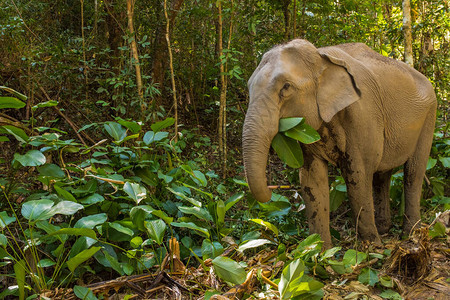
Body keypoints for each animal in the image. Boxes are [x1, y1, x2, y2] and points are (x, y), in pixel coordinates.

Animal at [243, 38, 436, 247]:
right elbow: (312, 179)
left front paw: (371, 246)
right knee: (382, 175)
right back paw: (385, 229)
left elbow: (358, 175)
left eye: (285, 87)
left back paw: (411, 234)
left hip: (429, 117)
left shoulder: (363, 114)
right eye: (249, 88)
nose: (272, 191)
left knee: (413, 173)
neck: (321, 58)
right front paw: (318, 250)